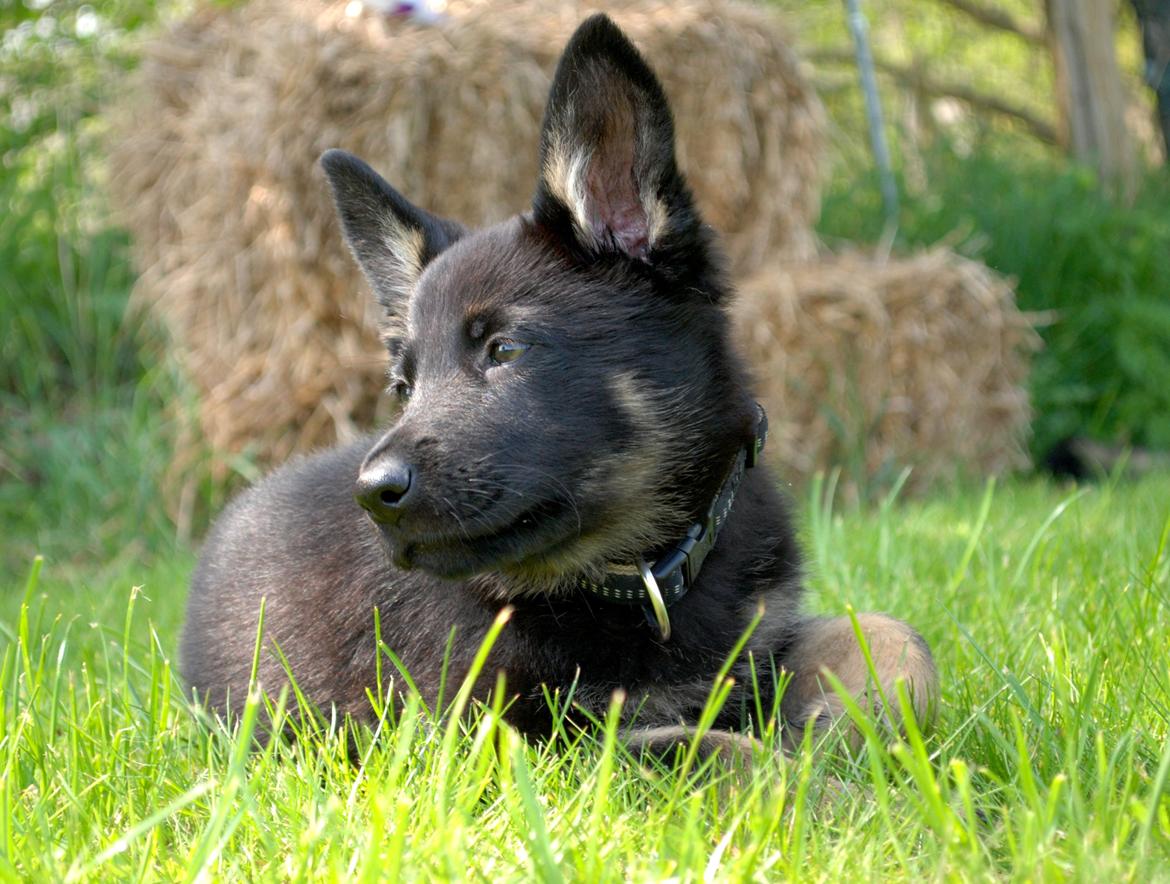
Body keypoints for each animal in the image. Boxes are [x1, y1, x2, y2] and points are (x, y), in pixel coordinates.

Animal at [177, 13, 935, 757]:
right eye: (404, 388)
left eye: (503, 350)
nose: (373, 495)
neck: (636, 574)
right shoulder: (522, 734)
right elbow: (706, 747)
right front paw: (812, 776)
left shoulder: (759, 637)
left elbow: (894, 638)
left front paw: (857, 729)